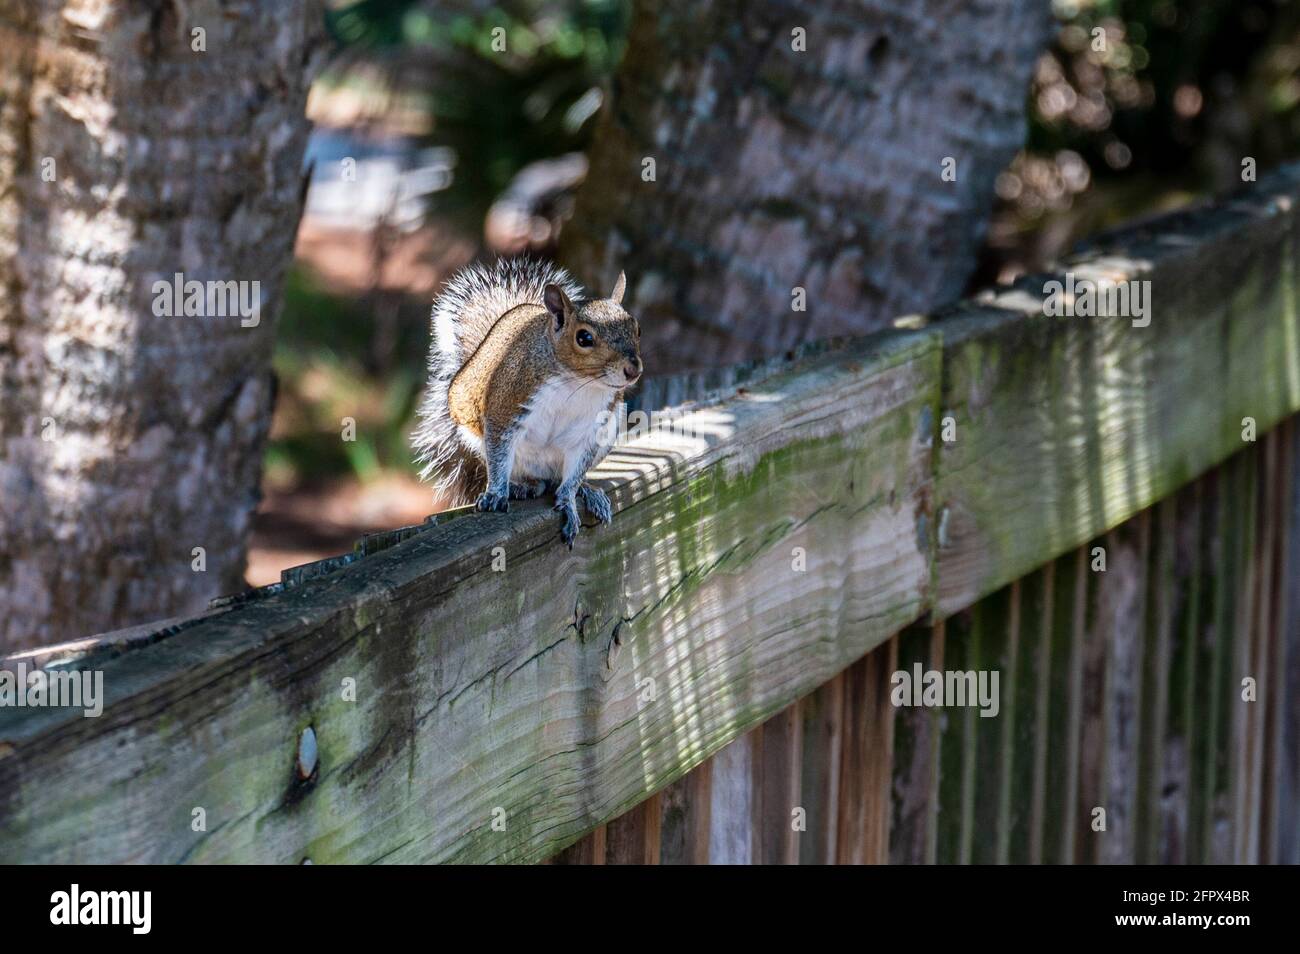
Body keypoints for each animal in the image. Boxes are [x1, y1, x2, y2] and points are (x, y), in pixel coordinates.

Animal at [412, 258, 642, 547]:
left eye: (637, 329)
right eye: (584, 338)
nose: (633, 370)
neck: (578, 384)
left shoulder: (593, 431)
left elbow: (574, 473)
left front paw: (569, 499)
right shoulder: (506, 406)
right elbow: (499, 454)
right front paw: (496, 493)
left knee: (557, 480)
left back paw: (586, 490)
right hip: (476, 440)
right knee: (521, 473)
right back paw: (521, 486)